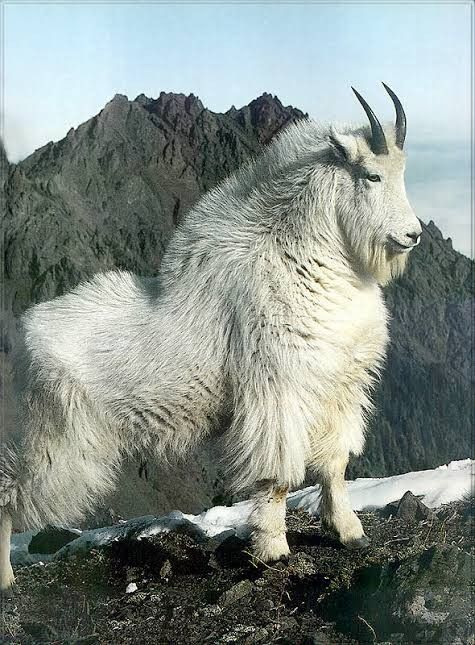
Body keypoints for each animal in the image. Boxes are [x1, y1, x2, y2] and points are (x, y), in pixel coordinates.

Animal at [1, 83, 422, 588]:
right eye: (372, 175)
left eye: (403, 173)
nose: (413, 235)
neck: (307, 260)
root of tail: (23, 336)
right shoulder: (277, 393)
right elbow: (277, 477)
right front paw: (272, 550)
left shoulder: (339, 391)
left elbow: (334, 467)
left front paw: (349, 532)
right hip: (58, 439)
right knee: (10, 493)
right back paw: (5, 578)